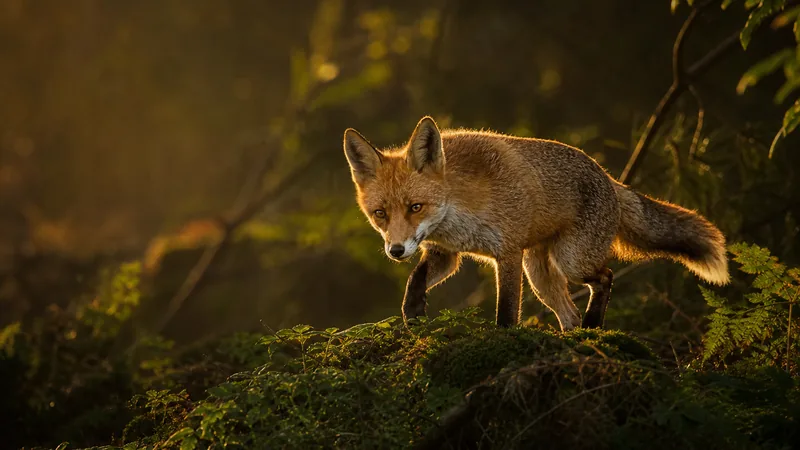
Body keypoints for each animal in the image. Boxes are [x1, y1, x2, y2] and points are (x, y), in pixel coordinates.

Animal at [342, 116, 730, 330]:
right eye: (380, 213)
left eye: (415, 207)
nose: (395, 250)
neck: (458, 212)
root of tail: (609, 177)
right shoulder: (445, 252)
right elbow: (416, 280)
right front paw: (414, 314)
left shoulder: (509, 253)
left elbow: (506, 310)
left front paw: (502, 341)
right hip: (541, 274)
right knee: (569, 314)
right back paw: (576, 335)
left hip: (570, 260)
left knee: (606, 277)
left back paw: (593, 327)